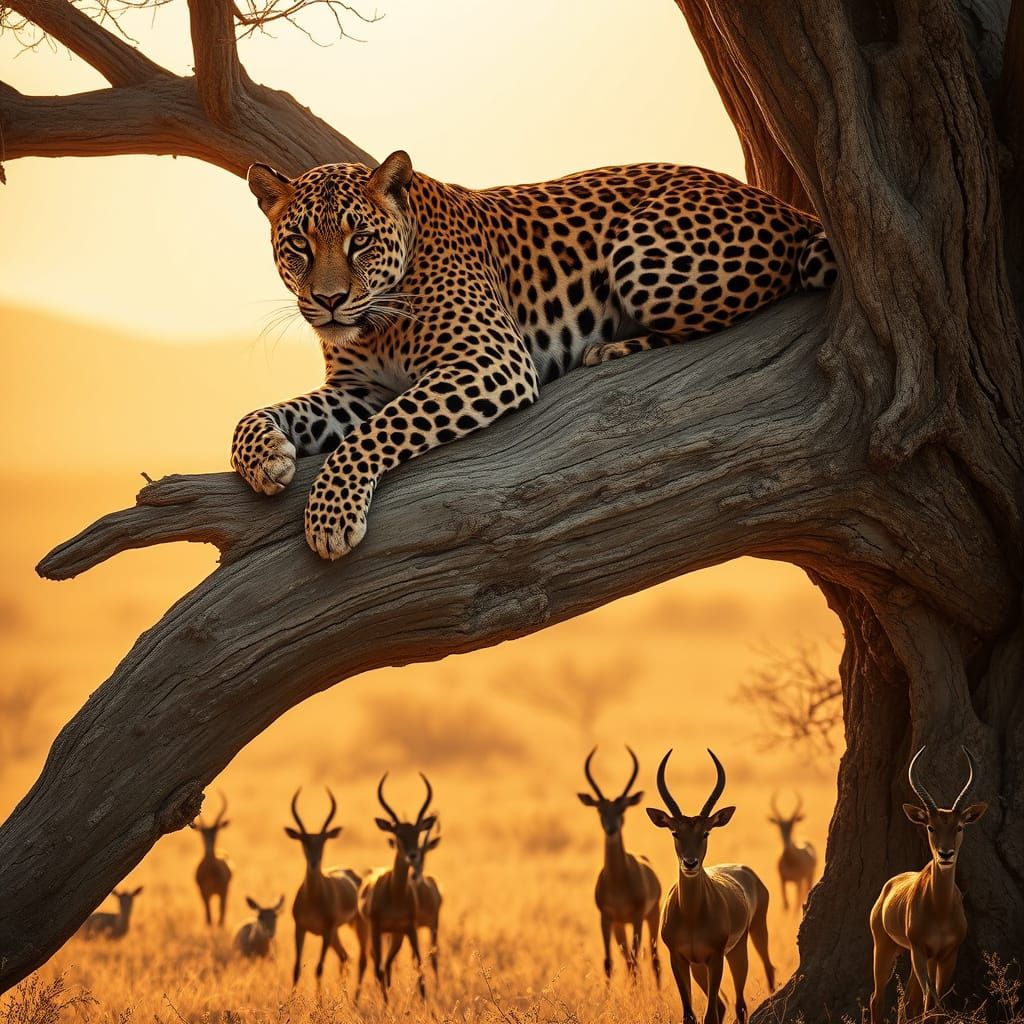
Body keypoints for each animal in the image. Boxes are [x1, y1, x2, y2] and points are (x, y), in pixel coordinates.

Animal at [234, 151, 837, 560]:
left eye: (359, 240)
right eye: (299, 245)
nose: (330, 301)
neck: (378, 324)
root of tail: (784, 205)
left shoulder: (490, 358)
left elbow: (379, 429)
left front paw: (330, 516)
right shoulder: (357, 390)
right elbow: (255, 416)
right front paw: (266, 458)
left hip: (643, 259)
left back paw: (610, 348)